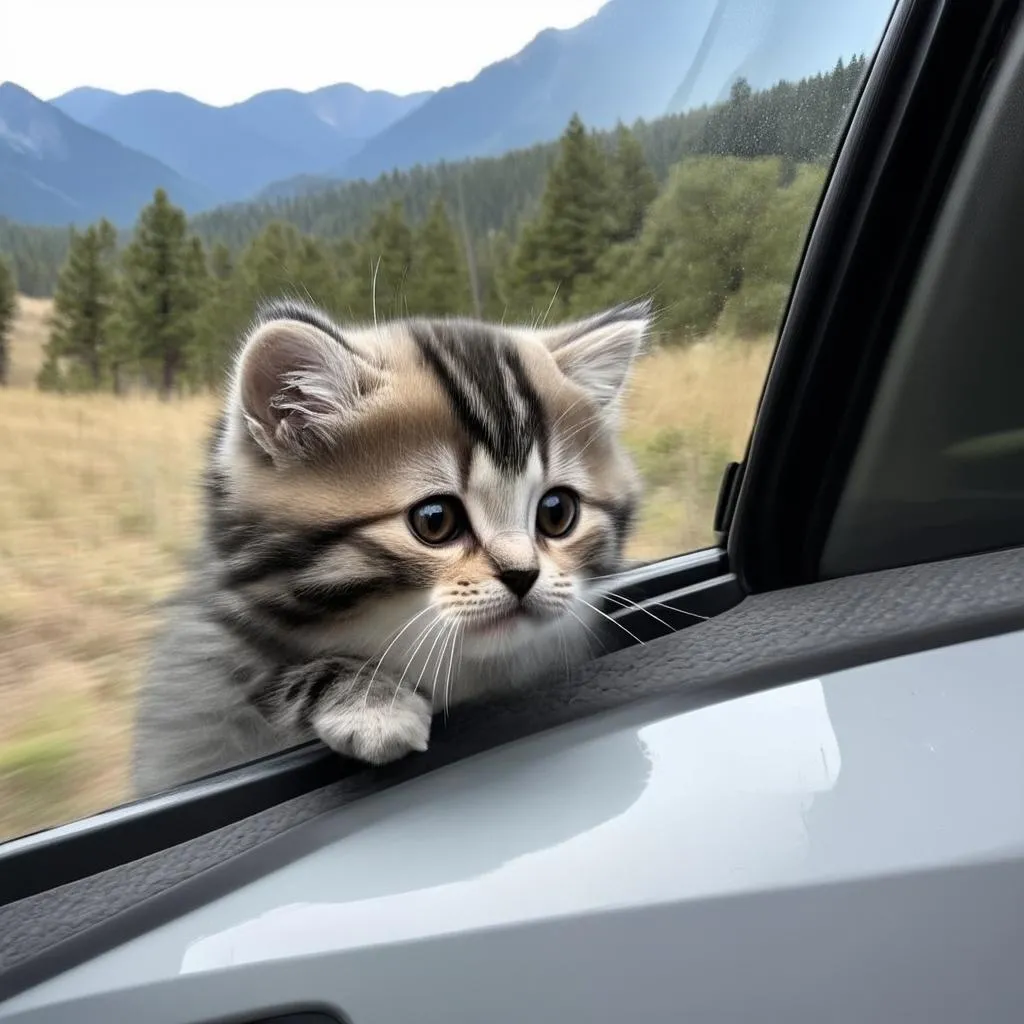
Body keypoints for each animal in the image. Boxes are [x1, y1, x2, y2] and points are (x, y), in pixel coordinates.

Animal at [130, 299, 647, 794]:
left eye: (557, 513)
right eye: (435, 521)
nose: (523, 575)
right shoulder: (202, 658)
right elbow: (257, 678)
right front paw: (373, 705)